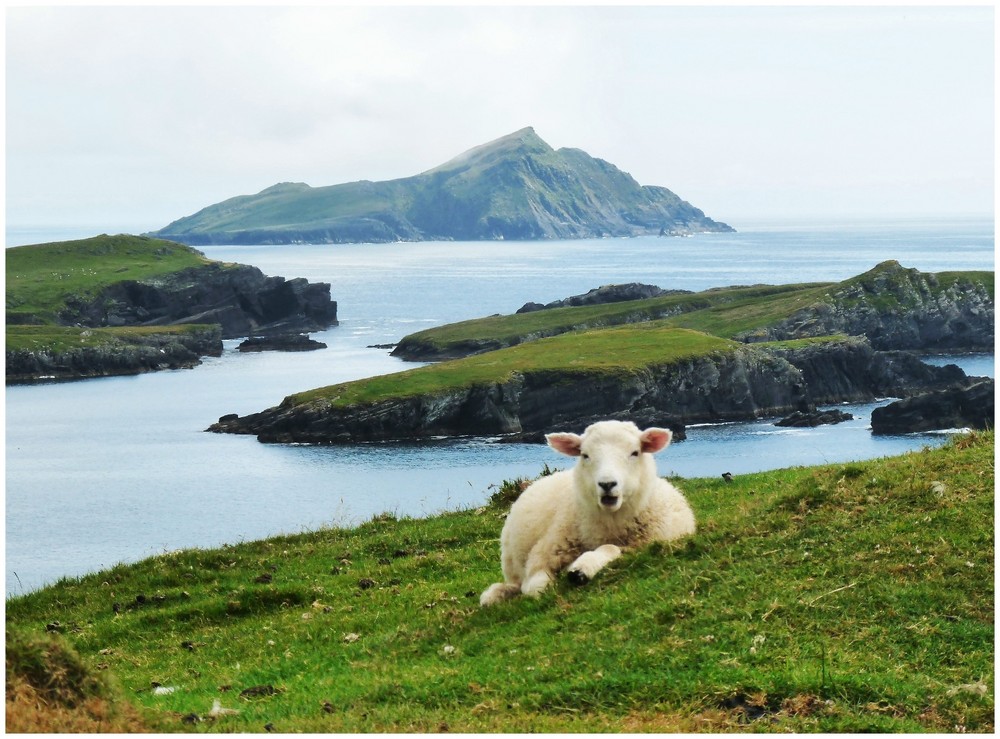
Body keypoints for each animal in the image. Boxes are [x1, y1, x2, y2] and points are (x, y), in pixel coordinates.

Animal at [478, 422, 696, 608]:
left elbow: (609, 549)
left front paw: (581, 569)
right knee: (515, 584)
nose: (607, 484)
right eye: (585, 455)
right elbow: (535, 587)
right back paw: (494, 595)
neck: (610, 523)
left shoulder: (641, 546)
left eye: (635, 452)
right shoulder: (544, 553)